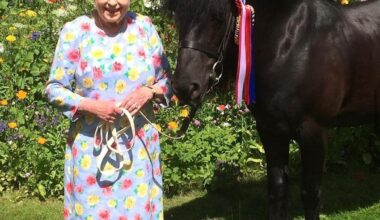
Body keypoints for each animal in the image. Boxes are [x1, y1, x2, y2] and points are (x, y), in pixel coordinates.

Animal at [165, 0, 380, 219]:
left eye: (216, 19)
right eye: (178, 18)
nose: (184, 86)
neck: (291, 45)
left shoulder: (314, 132)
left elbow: (310, 195)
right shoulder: (271, 131)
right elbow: (277, 190)